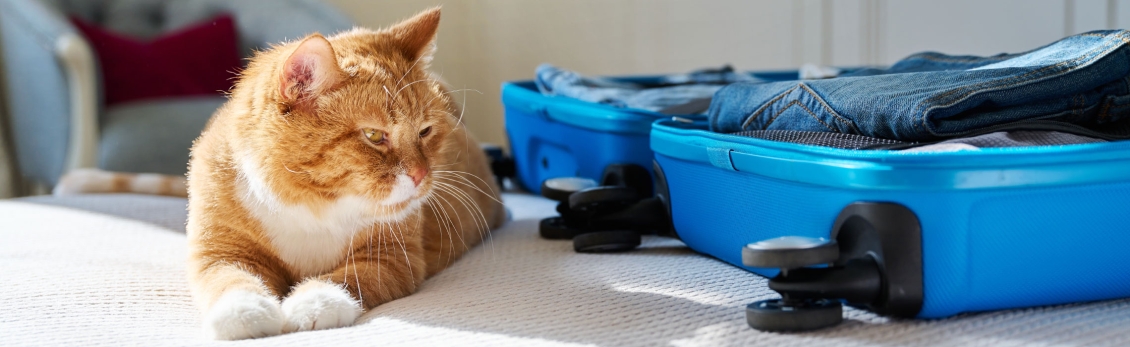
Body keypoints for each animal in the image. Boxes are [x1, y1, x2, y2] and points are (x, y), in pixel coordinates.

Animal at [183, 7, 506, 339]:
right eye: (374, 135)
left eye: (424, 131)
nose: (420, 175)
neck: (313, 205)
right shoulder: (222, 250)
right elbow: (229, 280)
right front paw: (244, 313)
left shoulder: (391, 258)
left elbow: (346, 279)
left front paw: (314, 303)